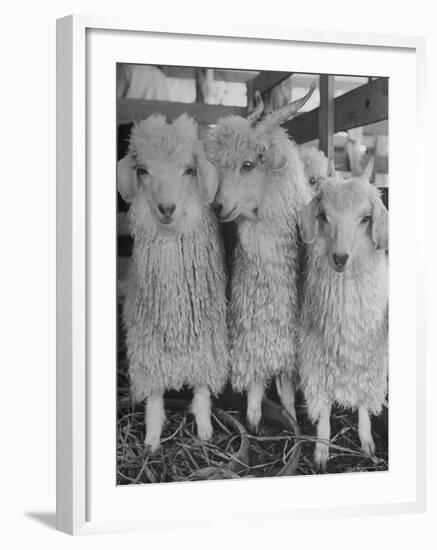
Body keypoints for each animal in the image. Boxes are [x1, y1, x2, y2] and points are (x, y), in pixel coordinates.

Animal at [117, 113, 230, 452]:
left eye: (189, 170)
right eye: (143, 170)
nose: (167, 209)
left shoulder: (208, 340)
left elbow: (203, 387)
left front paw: (205, 430)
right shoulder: (147, 345)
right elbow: (154, 394)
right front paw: (152, 439)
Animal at [206, 85, 316, 432]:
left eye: (249, 164)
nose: (217, 207)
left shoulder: (288, 337)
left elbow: (286, 385)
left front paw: (293, 422)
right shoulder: (250, 328)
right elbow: (255, 379)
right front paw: (254, 419)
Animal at [298, 158, 386, 470]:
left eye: (366, 217)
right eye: (323, 215)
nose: (339, 258)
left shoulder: (369, 359)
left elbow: (363, 402)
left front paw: (367, 443)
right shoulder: (316, 359)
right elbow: (323, 408)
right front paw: (322, 451)